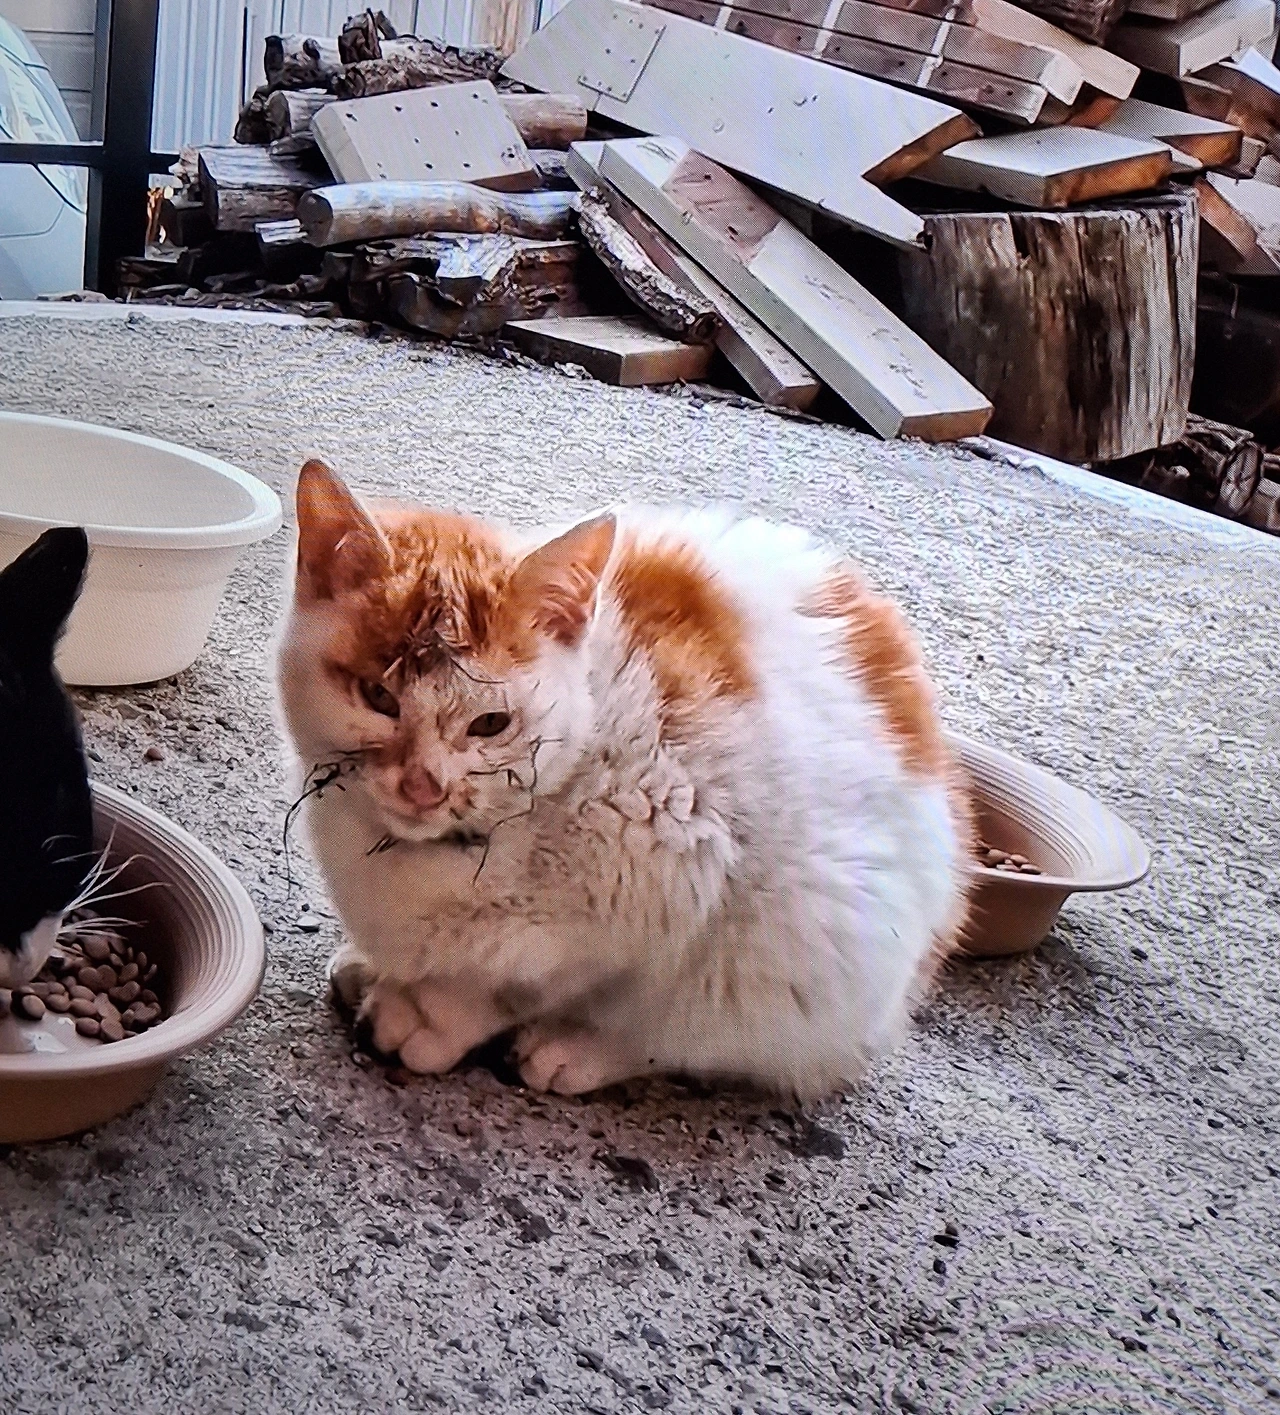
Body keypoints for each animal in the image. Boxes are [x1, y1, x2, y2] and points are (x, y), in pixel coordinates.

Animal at [275, 460, 972, 1100]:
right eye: (378, 696)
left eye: (491, 723)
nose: (424, 786)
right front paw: (383, 974)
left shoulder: (678, 865)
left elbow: (528, 982)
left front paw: (433, 1016)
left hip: (818, 937)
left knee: (704, 1036)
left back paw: (574, 1051)